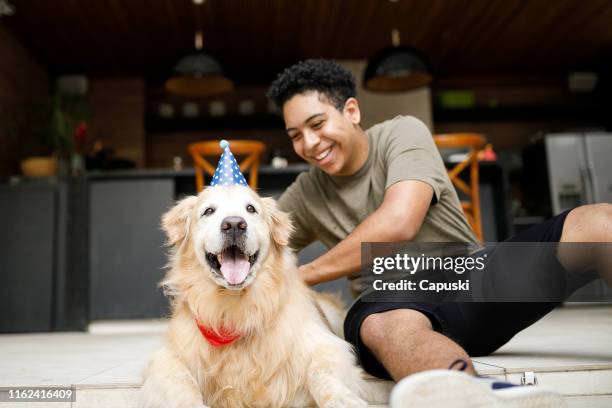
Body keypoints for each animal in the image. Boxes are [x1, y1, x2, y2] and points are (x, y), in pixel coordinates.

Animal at [141, 186, 390, 406]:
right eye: (208, 211)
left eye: (251, 209)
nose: (234, 224)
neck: (235, 309)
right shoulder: (168, 360)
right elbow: (181, 385)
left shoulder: (328, 346)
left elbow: (321, 373)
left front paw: (343, 400)